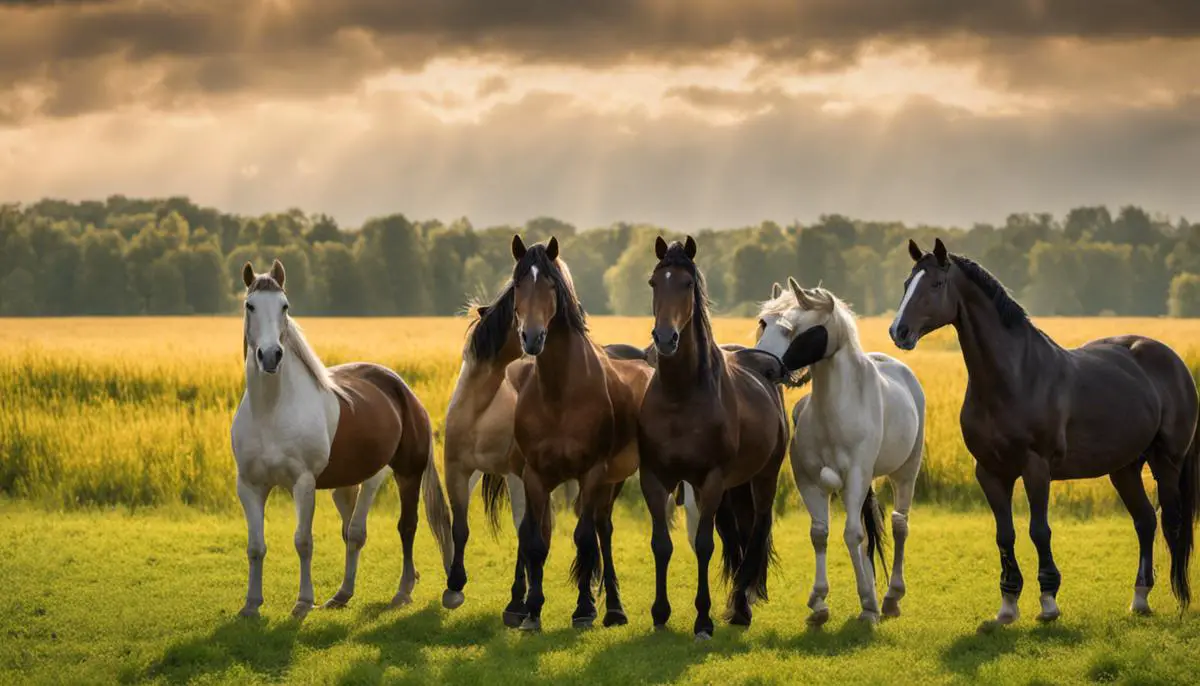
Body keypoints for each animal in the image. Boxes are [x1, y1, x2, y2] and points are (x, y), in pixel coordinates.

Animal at [231, 260, 451, 618]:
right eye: (250, 305)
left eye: (284, 306)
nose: (271, 356)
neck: (272, 411)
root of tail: (403, 389)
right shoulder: (249, 486)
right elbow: (255, 546)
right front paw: (251, 605)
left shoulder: (303, 484)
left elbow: (303, 542)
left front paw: (303, 602)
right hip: (346, 486)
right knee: (352, 533)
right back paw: (342, 594)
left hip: (402, 475)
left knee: (403, 527)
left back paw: (403, 591)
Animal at [504, 236, 657, 633]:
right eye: (518, 284)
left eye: (550, 285)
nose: (532, 338)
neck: (559, 392)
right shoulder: (535, 476)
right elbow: (536, 541)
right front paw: (533, 610)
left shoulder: (592, 472)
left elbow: (584, 538)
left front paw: (584, 609)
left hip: (612, 480)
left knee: (602, 530)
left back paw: (613, 608)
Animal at [633, 236, 792, 638]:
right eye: (653, 282)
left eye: (687, 283)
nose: (665, 338)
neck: (681, 395)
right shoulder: (654, 478)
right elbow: (662, 544)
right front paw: (660, 614)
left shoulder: (711, 479)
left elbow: (704, 545)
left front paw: (703, 619)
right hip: (735, 487)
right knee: (737, 534)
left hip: (763, 476)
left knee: (758, 528)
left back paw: (741, 605)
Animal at [753, 278, 921, 628]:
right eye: (764, 323)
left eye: (793, 329)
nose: (762, 367)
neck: (835, 411)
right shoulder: (810, 482)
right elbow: (822, 534)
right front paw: (819, 603)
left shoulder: (856, 476)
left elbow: (852, 535)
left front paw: (868, 604)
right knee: (864, 533)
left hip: (905, 473)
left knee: (899, 525)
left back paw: (890, 599)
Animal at [892, 238, 1200, 623]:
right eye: (907, 284)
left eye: (935, 284)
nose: (898, 332)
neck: (1015, 377)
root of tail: (1173, 362)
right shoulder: (990, 472)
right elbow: (1005, 534)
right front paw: (1007, 606)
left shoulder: (1036, 467)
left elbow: (1039, 530)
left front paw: (1049, 602)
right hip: (1125, 468)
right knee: (1145, 521)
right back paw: (1140, 598)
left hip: (1166, 461)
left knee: (1172, 521)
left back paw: (1180, 598)